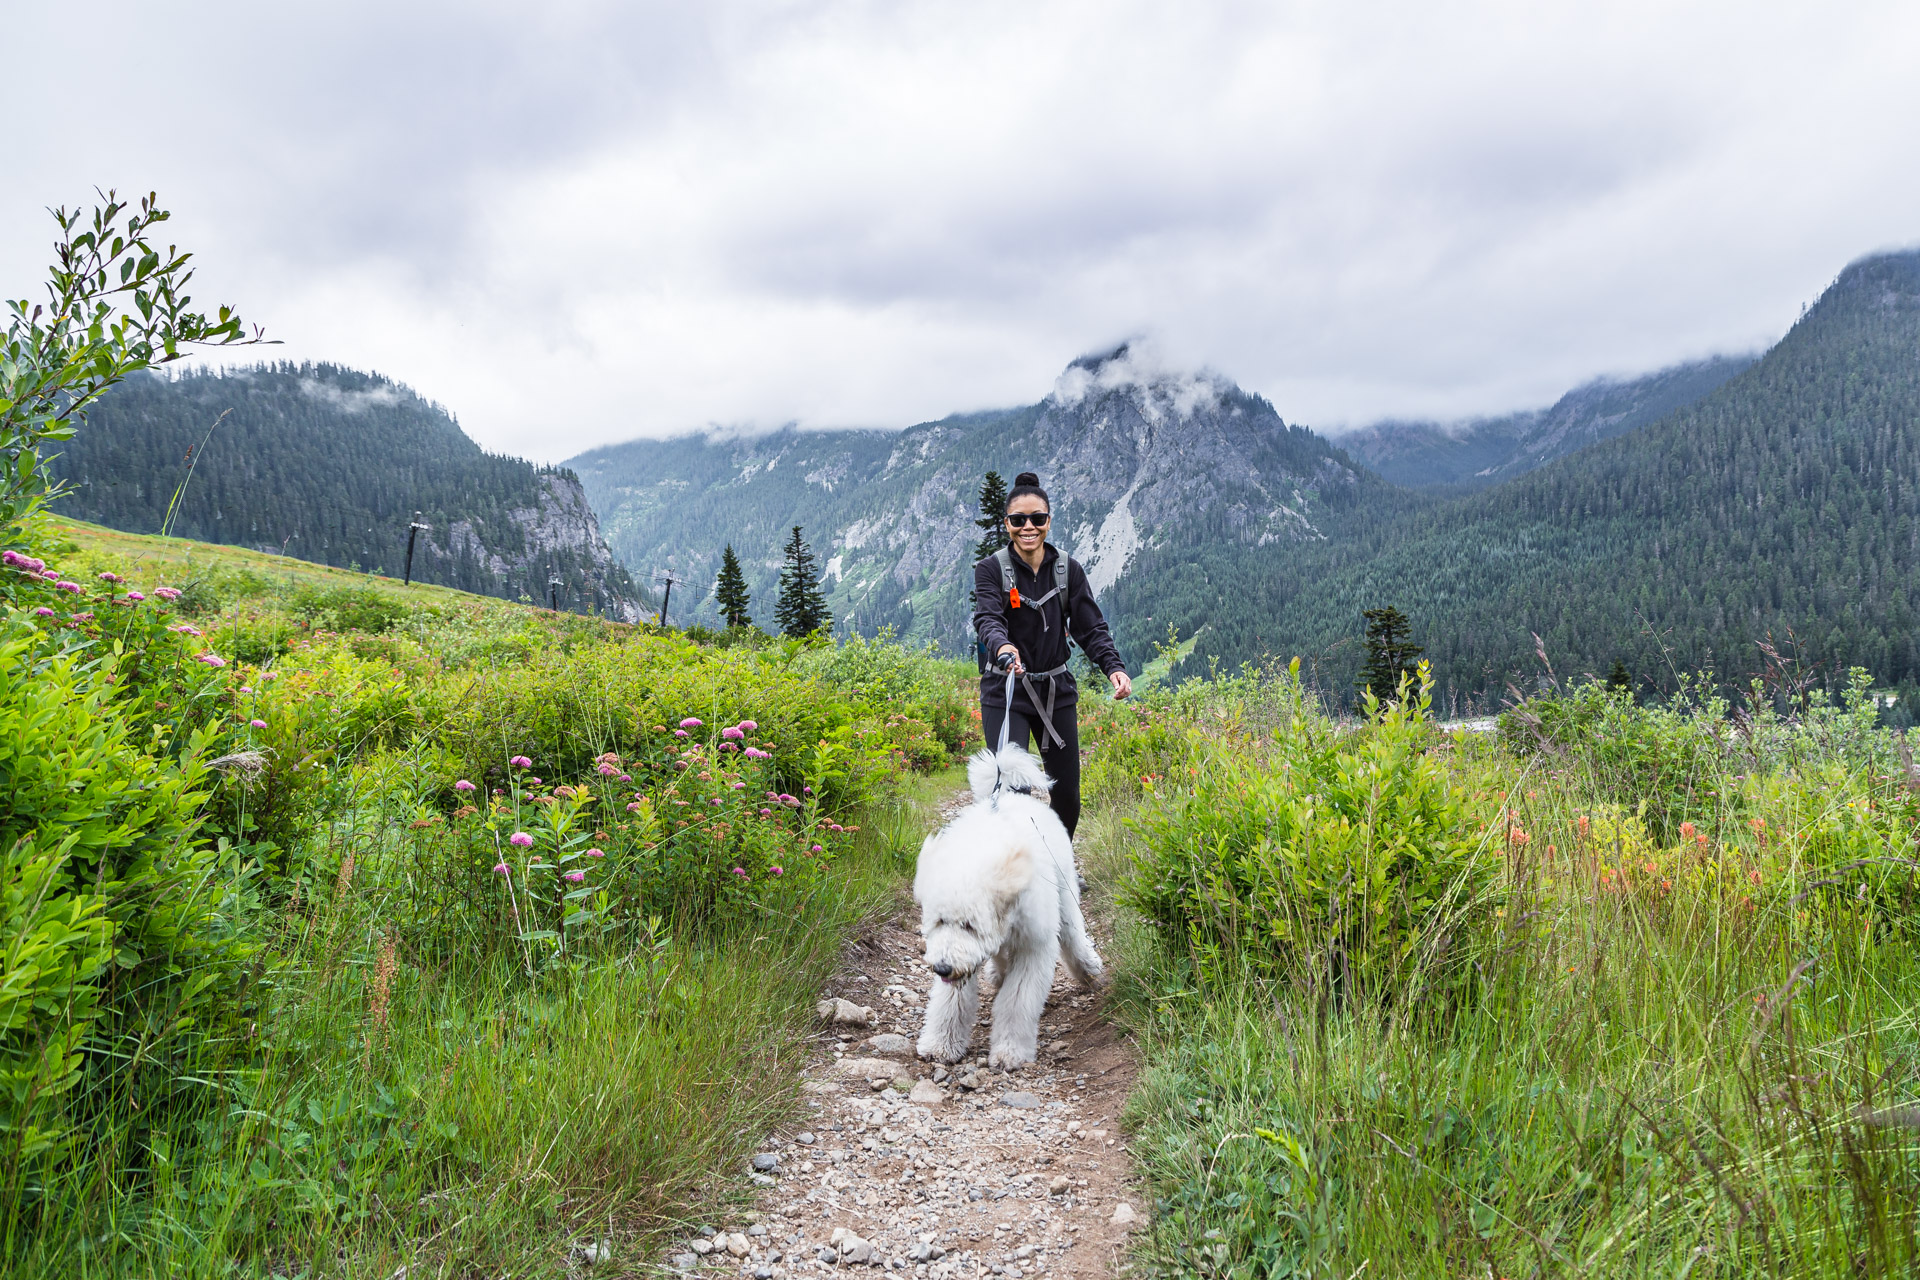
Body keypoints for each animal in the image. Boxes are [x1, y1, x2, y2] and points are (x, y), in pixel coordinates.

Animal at [917, 740, 1113, 1074]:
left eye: (969, 925)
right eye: (940, 921)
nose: (941, 967)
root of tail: (1008, 795)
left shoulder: (1033, 946)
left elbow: (1017, 1001)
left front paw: (1009, 1052)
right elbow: (950, 1001)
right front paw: (941, 1044)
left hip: (1064, 893)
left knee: (1073, 934)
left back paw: (1088, 968)